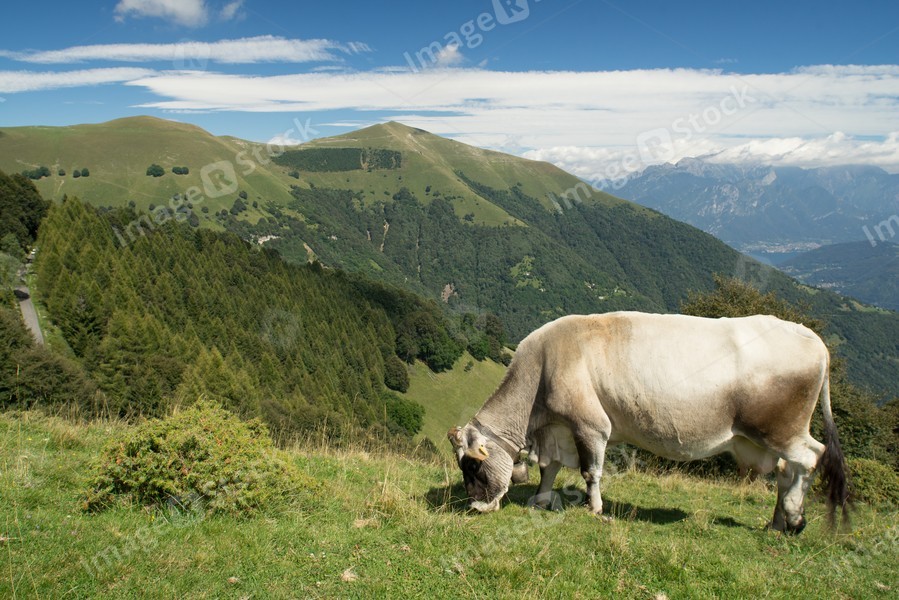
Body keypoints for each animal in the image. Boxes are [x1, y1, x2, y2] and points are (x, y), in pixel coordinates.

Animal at [448, 312, 850, 534]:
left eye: (473, 467)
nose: (475, 507)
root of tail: (811, 337)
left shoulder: (591, 425)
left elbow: (590, 471)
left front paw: (595, 509)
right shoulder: (557, 429)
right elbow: (550, 468)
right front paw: (541, 501)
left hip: (781, 430)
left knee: (809, 458)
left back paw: (794, 518)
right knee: (787, 470)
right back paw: (778, 523)